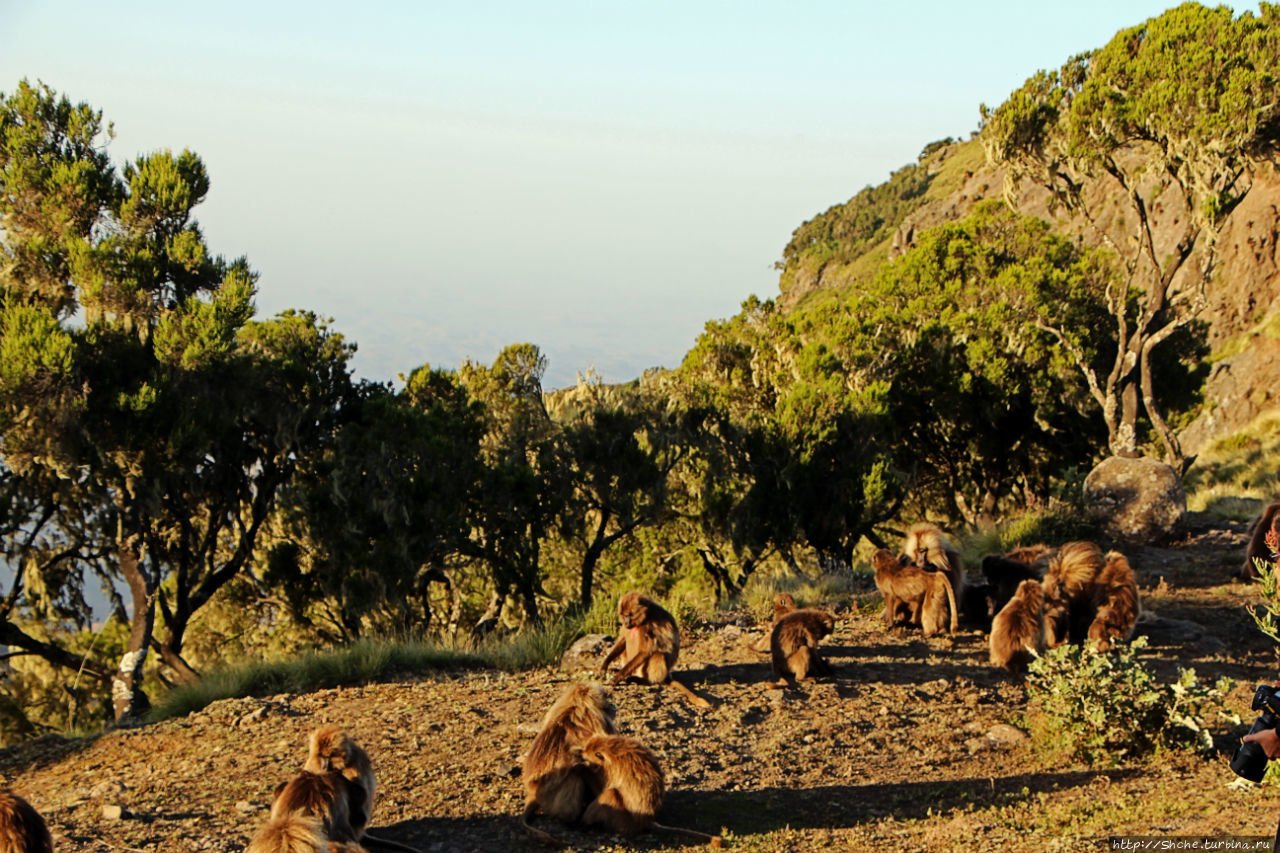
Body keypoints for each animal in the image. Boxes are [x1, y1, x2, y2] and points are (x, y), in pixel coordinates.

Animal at [519, 681, 619, 840]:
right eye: (607, 697)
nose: (614, 706)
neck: (577, 705)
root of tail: (533, 791)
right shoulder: (602, 722)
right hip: (550, 796)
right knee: (575, 774)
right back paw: (570, 819)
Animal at [578, 732, 721, 845]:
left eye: (586, 752)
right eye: (585, 748)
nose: (580, 753)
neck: (612, 748)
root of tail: (646, 821)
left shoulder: (610, 770)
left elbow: (602, 788)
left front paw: (583, 769)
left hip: (623, 820)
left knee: (610, 793)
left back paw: (584, 824)